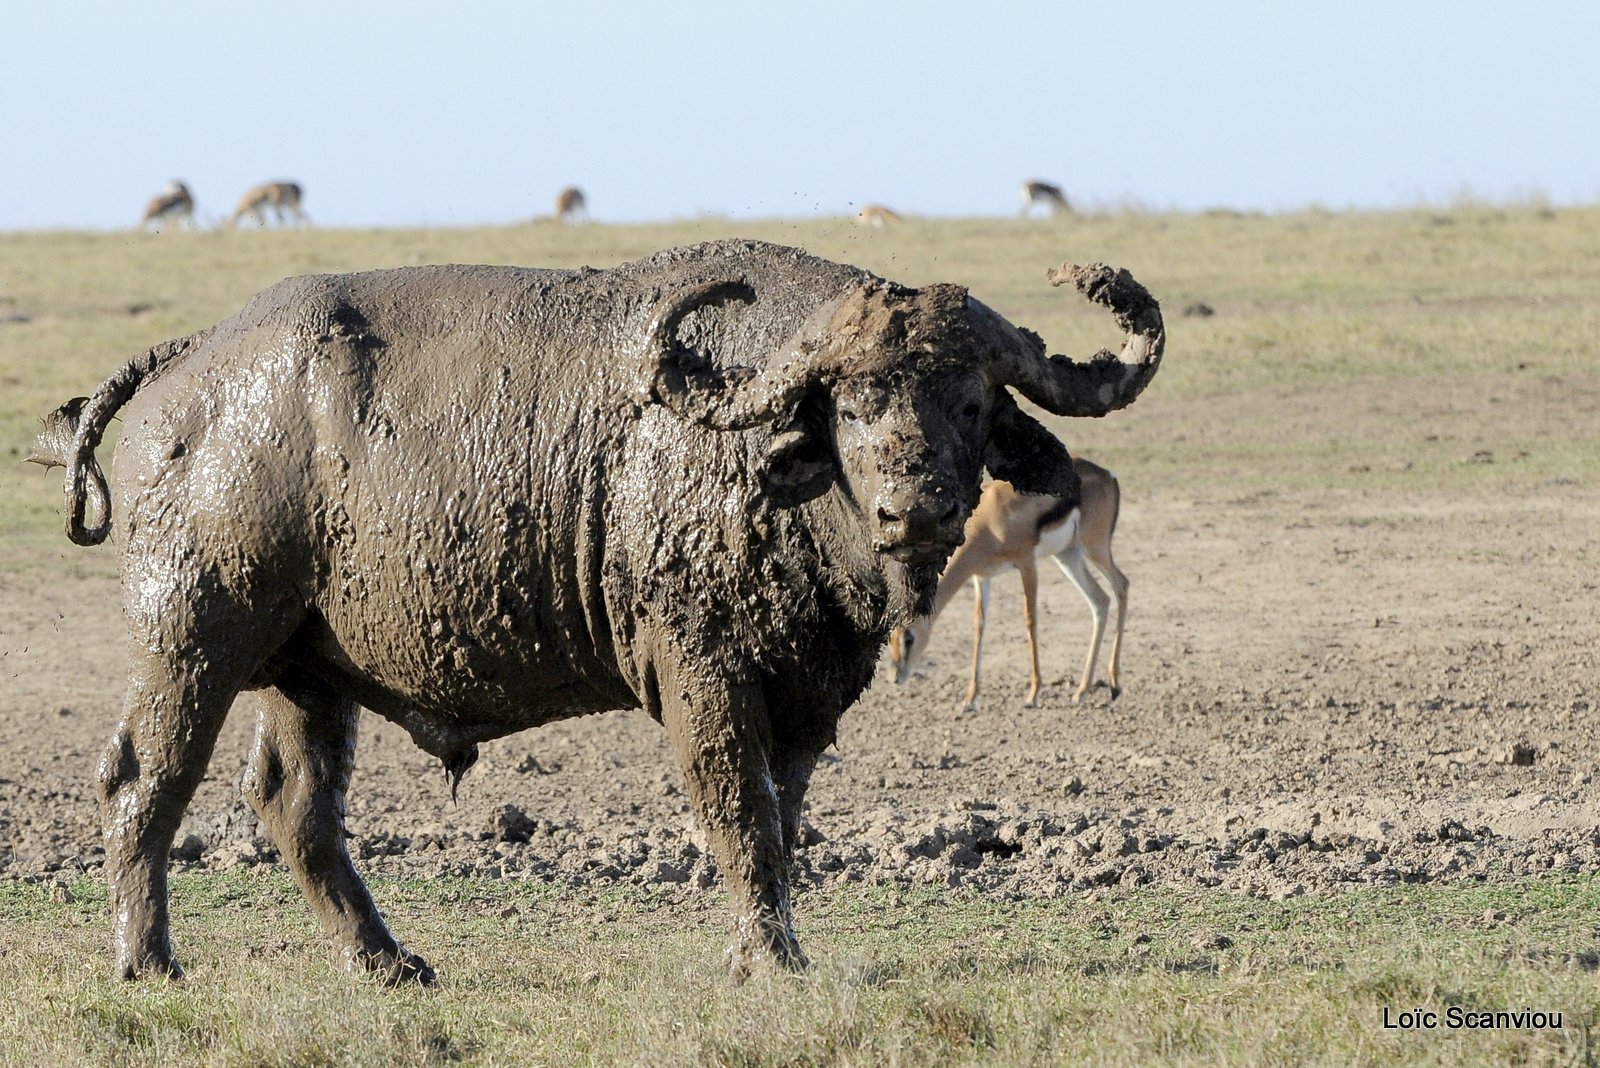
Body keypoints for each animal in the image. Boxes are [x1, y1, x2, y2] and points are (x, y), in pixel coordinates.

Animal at [889, 457, 1126, 709]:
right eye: (890, 637)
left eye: (908, 637)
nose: (895, 677)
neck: (989, 521)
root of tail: (1108, 474)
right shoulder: (981, 577)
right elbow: (979, 627)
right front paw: (970, 698)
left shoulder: (1027, 562)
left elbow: (1030, 621)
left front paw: (1033, 693)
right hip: (1068, 556)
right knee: (1100, 600)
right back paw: (1082, 691)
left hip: (1095, 547)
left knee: (1122, 585)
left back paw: (1114, 685)